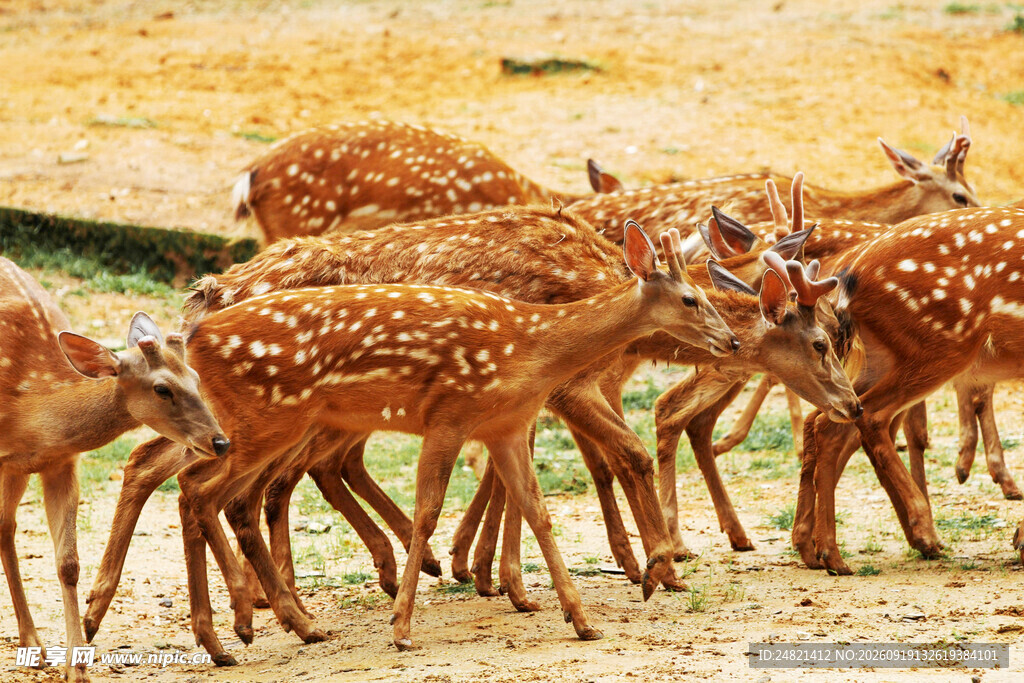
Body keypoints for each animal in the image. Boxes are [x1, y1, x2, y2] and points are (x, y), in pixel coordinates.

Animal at [0, 257, 228, 683]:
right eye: (162, 388)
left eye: (196, 377)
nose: (220, 441)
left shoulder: (59, 462)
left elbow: (68, 563)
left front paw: (76, 668)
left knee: (6, 528)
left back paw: (33, 644)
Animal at [791, 206, 1024, 575]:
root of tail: (850, 274)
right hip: (944, 343)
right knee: (864, 418)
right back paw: (915, 532)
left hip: (884, 356)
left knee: (826, 420)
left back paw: (816, 550)